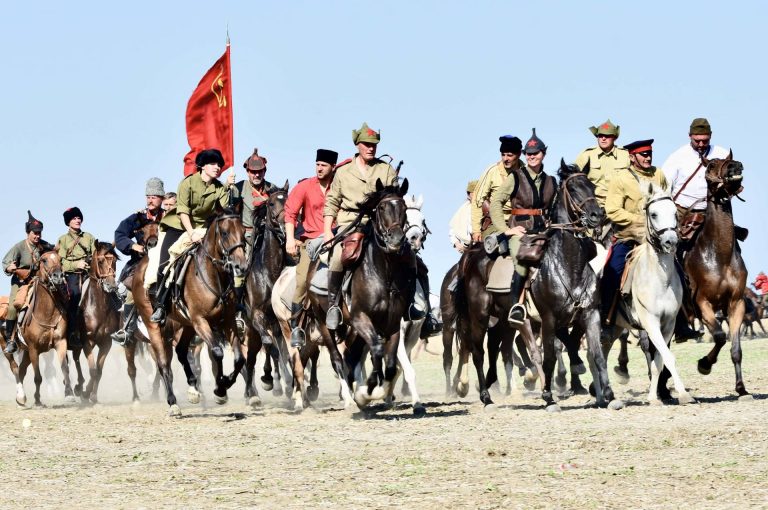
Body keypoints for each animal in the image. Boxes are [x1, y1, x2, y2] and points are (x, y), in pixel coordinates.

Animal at [1, 251, 74, 406]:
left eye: (60, 259)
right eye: (44, 260)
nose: (58, 276)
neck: (46, 312)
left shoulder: (60, 343)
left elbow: (65, 368)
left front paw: (69, 394)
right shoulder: (34, 348)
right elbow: (38, 377)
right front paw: (38, 400)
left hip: (26, 352)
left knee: (21, 370)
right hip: (6, 347)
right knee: (15, 368)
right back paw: (21, 396)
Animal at [130, 205, 248, 416]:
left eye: (244, 231)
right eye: (225, 233)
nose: (240, 266)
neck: (212, 274)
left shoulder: (227, 321)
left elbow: (239, 358)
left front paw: (224, 385)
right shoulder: (201, 321)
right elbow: (217, 352)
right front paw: (220, 389)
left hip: (185, 325)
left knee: (181, 351)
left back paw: (193, 388)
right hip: (155, 327)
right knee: (163, 364)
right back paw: (172, 402)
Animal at [604, 183, 700, 406]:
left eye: (675, 213)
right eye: (654, 214)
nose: (670, 241)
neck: (659, 280)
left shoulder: (669, 324)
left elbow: (659, 360)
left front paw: (653, 397)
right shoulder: (651, 322)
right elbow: (667, 357)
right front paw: (683, 394)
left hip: (615, 327)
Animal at [680, 153, 748, 396]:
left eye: (731, 158)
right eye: (710, 165)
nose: (736, 166)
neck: (720, 256)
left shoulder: (736, 304)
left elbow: (735, 348)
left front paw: (741, 388)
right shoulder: (702, 304)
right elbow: (719, 336)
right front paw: (704, 364)